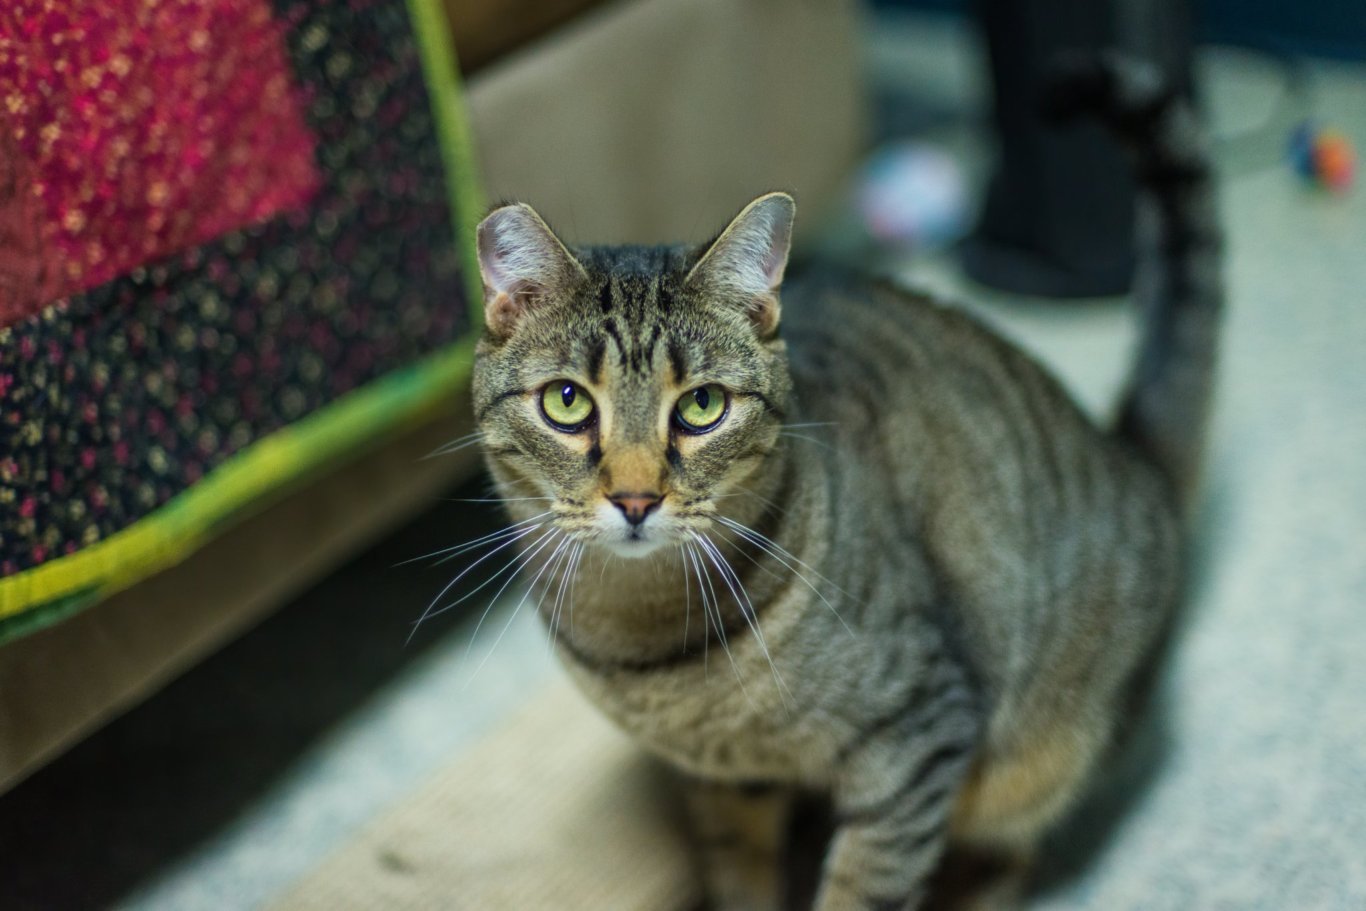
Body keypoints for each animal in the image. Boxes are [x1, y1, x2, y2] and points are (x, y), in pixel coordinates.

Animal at [464, 60, 1223, 906]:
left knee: (1010, 856)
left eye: (702, 405)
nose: (635, 499)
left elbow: (863, 887)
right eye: (567, 401)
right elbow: (740, 875)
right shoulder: (727, 779)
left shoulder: (917, 733)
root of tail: (1129, 453)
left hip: (1034, 763)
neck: (654, 643)